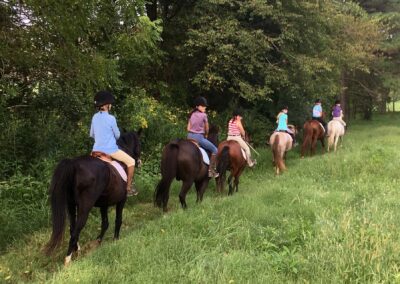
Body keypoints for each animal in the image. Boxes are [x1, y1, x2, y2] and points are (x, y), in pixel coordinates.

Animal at [43, 130, 140, 266]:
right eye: (139, 143)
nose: (139, 162)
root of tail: (74, 164)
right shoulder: (121, 200)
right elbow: (118, 220)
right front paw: (115, 240)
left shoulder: (104, 204)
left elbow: (105, 223)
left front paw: (98, 242)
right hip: (85, 207)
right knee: (76, 230)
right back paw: (67, 260)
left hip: (71, 206)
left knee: (72, 228)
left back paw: (77, 250)